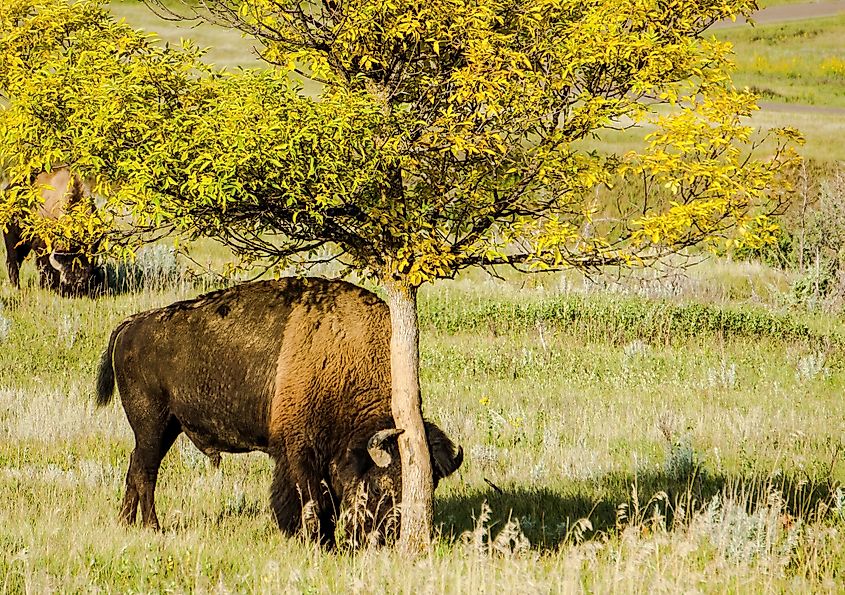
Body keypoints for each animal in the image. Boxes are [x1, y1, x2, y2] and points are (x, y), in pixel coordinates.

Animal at [2, 166, 103, 296]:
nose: (78, 280)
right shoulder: (42, 246)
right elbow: (45, 267)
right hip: (13, 240)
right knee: (13, 262)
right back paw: (16, 287)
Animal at [96, 278, 464, 548]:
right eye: (380, 487)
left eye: (429, 487)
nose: (385, 538)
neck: (345, 361)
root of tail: (132, 324)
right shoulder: (298, 452)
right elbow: (310, 500)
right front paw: (316, 541)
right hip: (153, 424)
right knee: (145, 472)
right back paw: (152, 527)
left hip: (164, 428)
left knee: (135, 467)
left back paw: (125, 523)